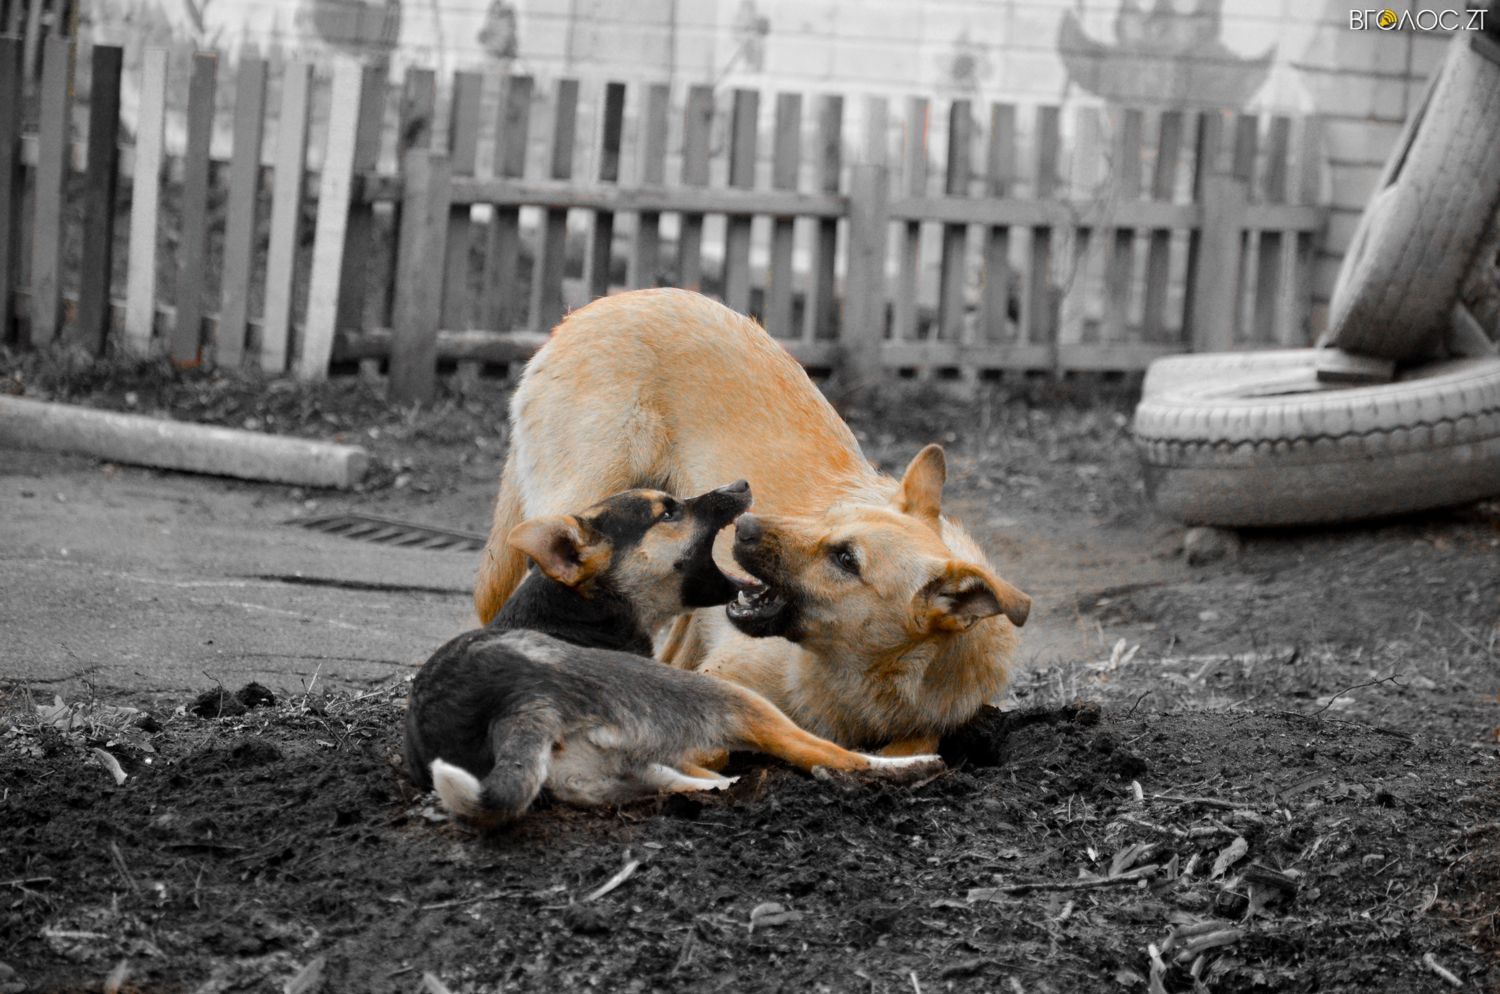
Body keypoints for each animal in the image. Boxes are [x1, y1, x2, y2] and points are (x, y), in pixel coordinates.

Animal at [406, 482, 939, 827]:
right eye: (667, 514)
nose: (740, 484)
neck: (577, 609)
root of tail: (520, 705)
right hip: (723, 695)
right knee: (828, 754)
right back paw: (911, 766)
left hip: (611, 775)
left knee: (715, 783)